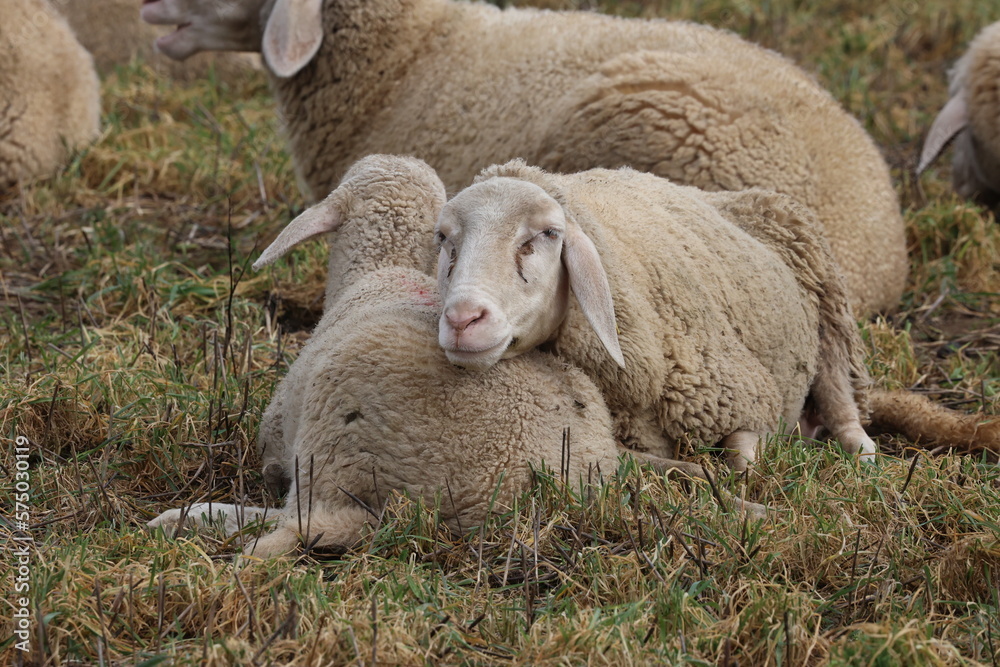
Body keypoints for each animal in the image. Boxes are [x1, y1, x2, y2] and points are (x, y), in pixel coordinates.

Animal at [148, 155, 764, 556]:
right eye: (445, 238)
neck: (382, 268)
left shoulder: (280, 445)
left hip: (336, 449)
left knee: (302, 524)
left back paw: (189, 519)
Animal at [435, 160, 878, 470]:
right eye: (443, 238)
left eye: (548, 233)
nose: (462, 319)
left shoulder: (748, 395)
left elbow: (742, 462)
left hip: (831, 322)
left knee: (842, 405)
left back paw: (863, 455)